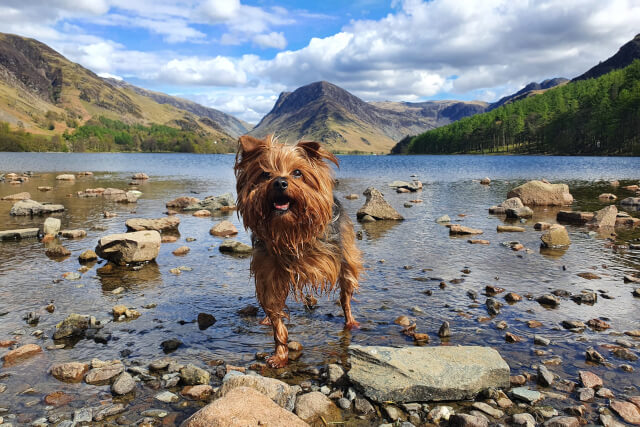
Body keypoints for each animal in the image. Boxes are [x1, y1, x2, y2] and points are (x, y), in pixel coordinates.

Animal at [235, 136, 364, 368]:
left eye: (297, 172)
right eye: (265, 174)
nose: (280, 182)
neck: (289, 232)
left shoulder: (338, 260)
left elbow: (345, 296)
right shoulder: (269, 275)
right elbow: (275, 315)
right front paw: (280, 354)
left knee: (346, 295)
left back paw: (351, 322)